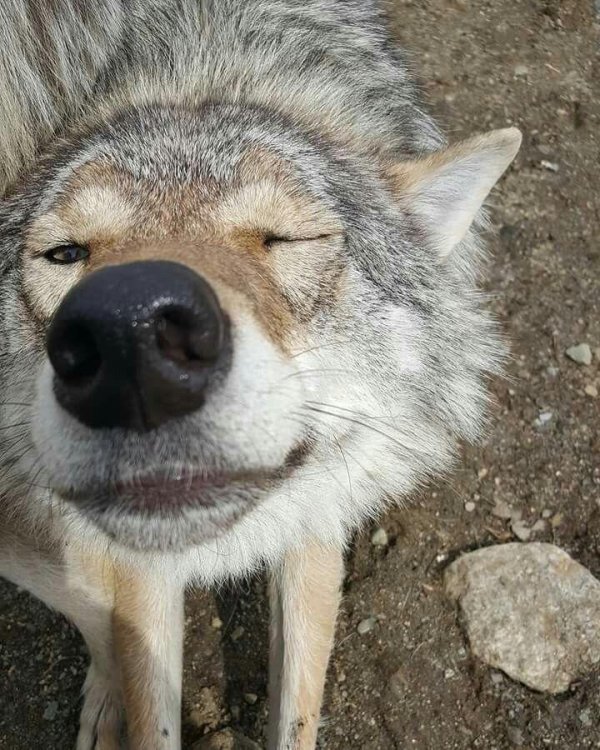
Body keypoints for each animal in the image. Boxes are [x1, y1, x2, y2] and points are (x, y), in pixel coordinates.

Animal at [0, 1, 520, 748]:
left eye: (285, 239)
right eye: (63, 253)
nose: (130, 338)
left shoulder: (317, 517)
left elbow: (296, 713)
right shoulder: (140, 567)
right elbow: (147, 693)